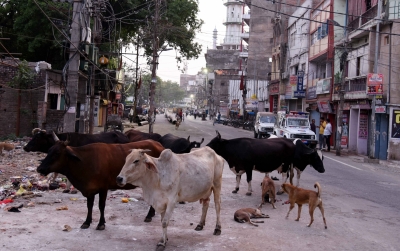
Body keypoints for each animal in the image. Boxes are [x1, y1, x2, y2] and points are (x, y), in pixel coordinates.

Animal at [36, 133, 164, 229]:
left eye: (57, 153)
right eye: (49, 150)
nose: (39, 168)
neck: (85, 162)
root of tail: (159, 145)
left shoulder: (103, 188)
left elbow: (101, 206)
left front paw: (101, 223)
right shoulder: (90, 189)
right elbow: (89, 206)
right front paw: (87, 222)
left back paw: (149, 215)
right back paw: (151, 214)